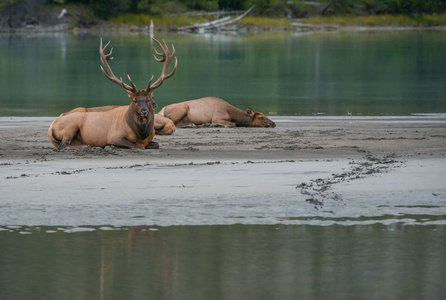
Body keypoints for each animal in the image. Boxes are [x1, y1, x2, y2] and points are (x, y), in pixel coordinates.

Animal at [47, 37, 176, 150]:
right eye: (134, 100)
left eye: (148, 99)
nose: (144, 110)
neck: (142, 135)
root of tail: (50, 129)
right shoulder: (114, 136)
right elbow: (133, 145)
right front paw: (112, 146)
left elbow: (156, 144)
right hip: (71, 125)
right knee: (63, 145)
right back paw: (86, 146)